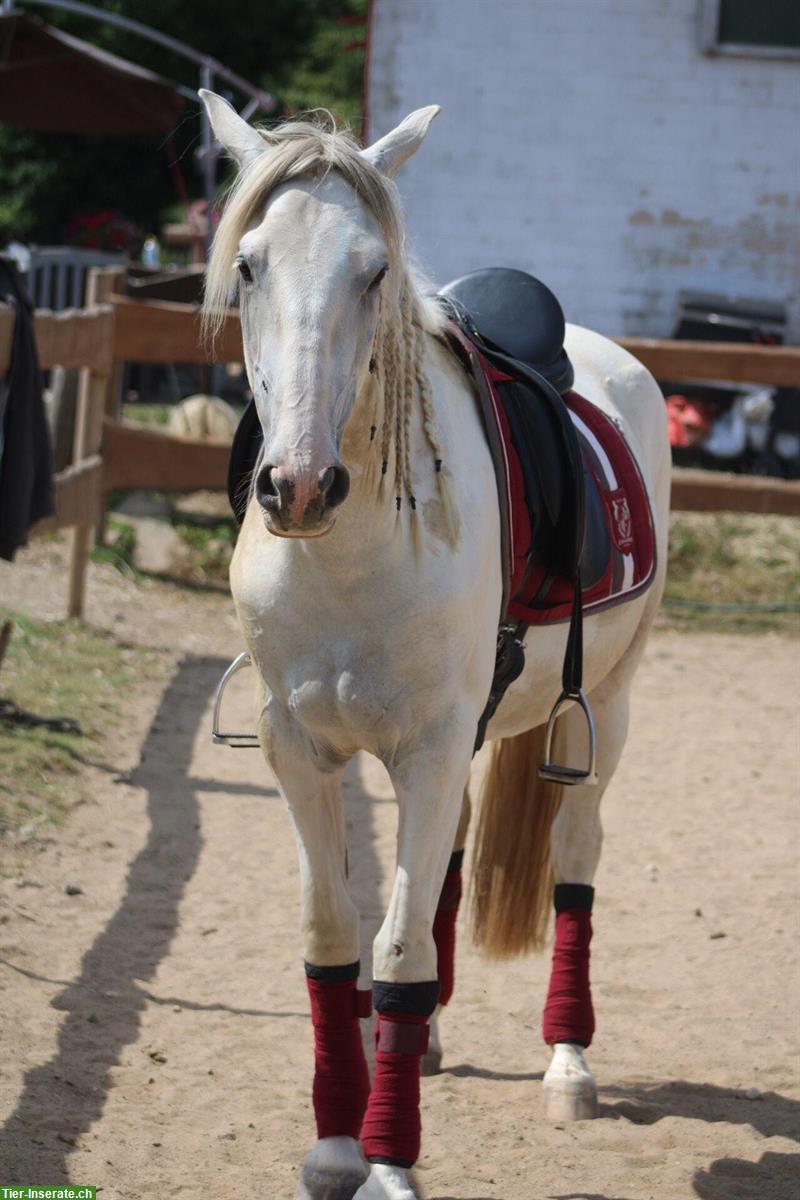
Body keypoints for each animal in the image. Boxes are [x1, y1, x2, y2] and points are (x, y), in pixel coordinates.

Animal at [199, 93, 671, 1200]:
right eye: (251, 265)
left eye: (375, 271)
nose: (297, 485)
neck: (347, 553)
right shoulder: (298, 750)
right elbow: (335, 939)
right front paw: (337, 1143)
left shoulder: (427, 747)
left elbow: (400, 950)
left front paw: (387, 1161)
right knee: (449, 860)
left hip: (606, 707)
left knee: (576, 859)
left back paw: (568, 1061)